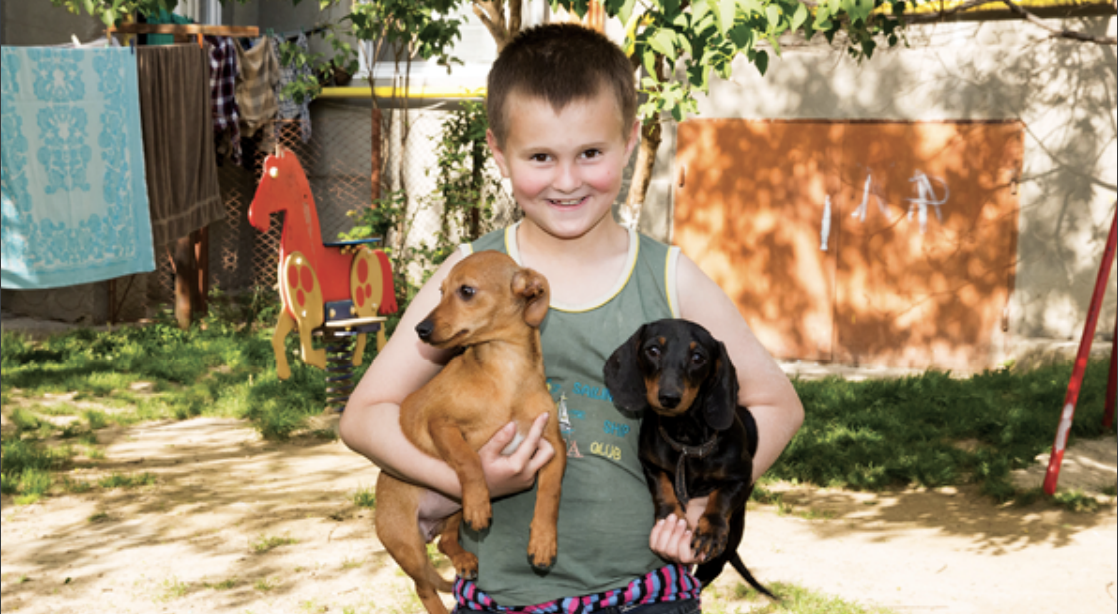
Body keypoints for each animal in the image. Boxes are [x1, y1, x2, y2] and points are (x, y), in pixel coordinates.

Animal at [375, 249, 567, 612]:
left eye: (466, 291)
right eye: (440, 291)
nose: (420, 329)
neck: (506, 372)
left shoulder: (553, 446)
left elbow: (550, 494)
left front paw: (543, 541)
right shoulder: (440, 423)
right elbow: (468, 459)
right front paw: (480, 503)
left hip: (452, 513)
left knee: (445, 544)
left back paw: (464, 559)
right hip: (408, 545)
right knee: (424, 586)